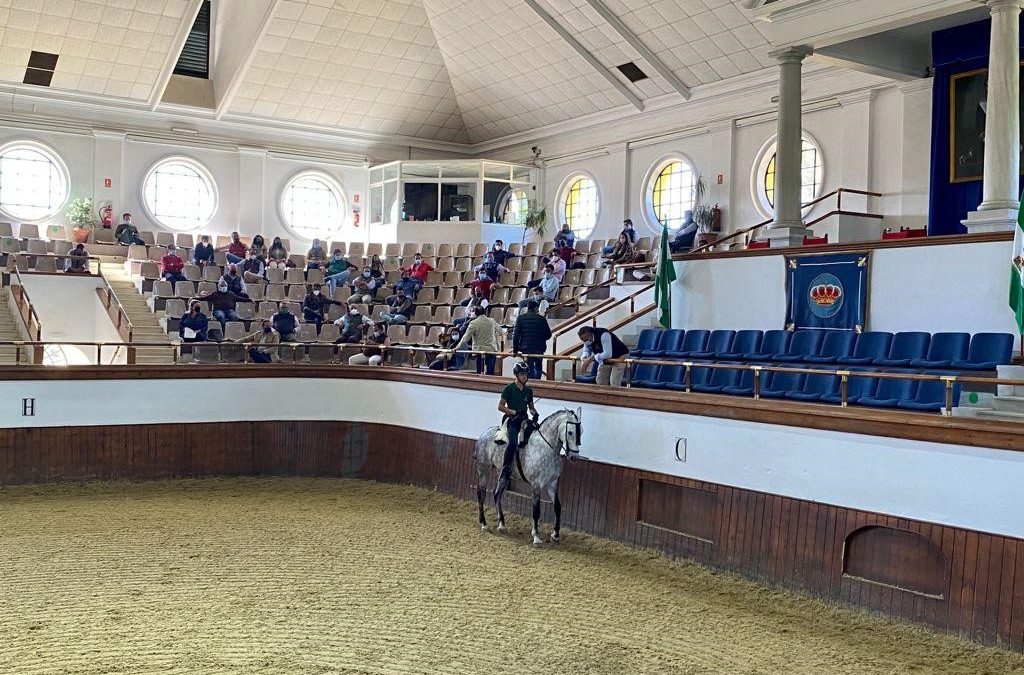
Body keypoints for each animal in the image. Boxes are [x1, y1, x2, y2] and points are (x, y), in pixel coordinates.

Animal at [473, 409, 581, 544]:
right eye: (570, 432)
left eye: (581, 432)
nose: (574, 457)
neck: (546, 447)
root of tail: (484, 433)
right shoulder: (536, 484)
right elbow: (536, 510)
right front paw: (536, 537)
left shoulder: (553, 482)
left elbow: (557, 506)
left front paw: (555, 535)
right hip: (484, 469)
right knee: (481, 494)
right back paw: (484, 523)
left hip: (502, 474)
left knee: (497, 494)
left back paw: (502, 525)